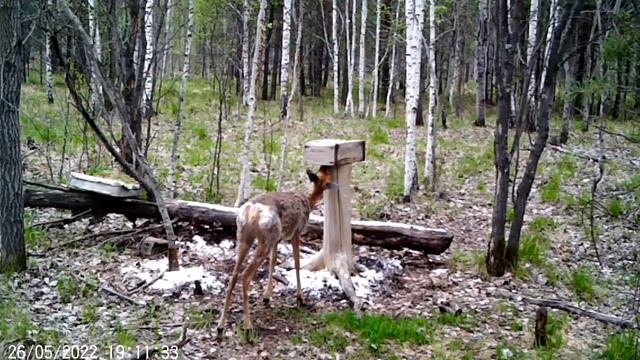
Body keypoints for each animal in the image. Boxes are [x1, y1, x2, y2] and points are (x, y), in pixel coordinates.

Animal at [215, 166, 336, 334]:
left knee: (234, 275)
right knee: (245, 275)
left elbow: (273, 262)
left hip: (245, 236)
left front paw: (267, 296)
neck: (309, 202)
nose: (335, 186)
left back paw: (220, 325)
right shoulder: (296, 232)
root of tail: (252, 212)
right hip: (266, 237)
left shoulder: (278, 239)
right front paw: (300, 297)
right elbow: (297, 263)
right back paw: (247, 324)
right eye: (327, 182)